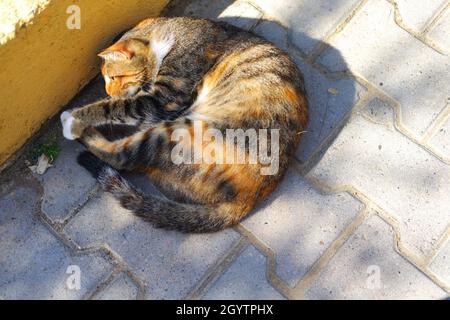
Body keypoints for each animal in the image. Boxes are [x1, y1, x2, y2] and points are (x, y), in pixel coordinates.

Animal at [60, 16, 310, 232]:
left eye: (113, 78)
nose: (109, 92)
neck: (167, 37)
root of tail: (248, 198)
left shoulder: (165, 97)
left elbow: (117, 107)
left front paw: (76, 118)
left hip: (174, 133)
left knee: (121, 157)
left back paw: (77, 128)